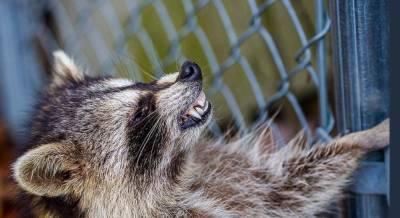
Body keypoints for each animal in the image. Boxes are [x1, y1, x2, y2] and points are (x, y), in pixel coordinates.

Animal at [12, 50, 390, 217]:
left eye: (139, 84)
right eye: (140, 114)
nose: (188, 70)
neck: (177, 177)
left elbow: (288, 187)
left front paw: (361, 138)